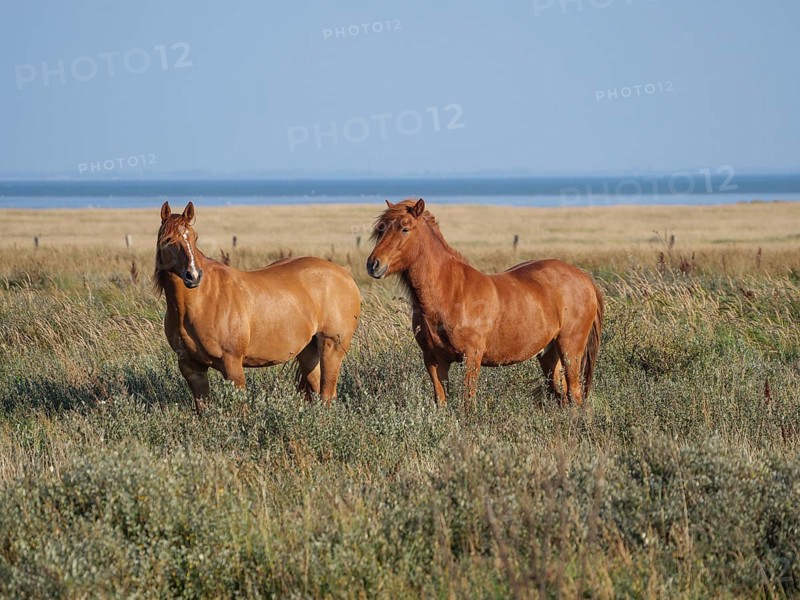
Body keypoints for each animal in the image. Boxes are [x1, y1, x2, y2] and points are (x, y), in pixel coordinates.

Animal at [153, 201, 361, 413]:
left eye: (195, 237)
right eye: (168, 239)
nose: (193, 276)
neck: (200, 301)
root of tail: (345, 275)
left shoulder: (232, 364)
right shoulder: (193, 369)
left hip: (331, 348)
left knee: (327, 394)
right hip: (309, 353)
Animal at [366, 198, 603, 407]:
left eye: (405, 229)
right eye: (381, 229)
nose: (373, 264)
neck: (451, 293)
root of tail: (584, 278)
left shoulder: (472, 357)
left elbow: (468, 403)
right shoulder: (434, 360)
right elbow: (441, 402)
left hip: (570, 349)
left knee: (575, 394)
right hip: (549, 355)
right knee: (562, 395)